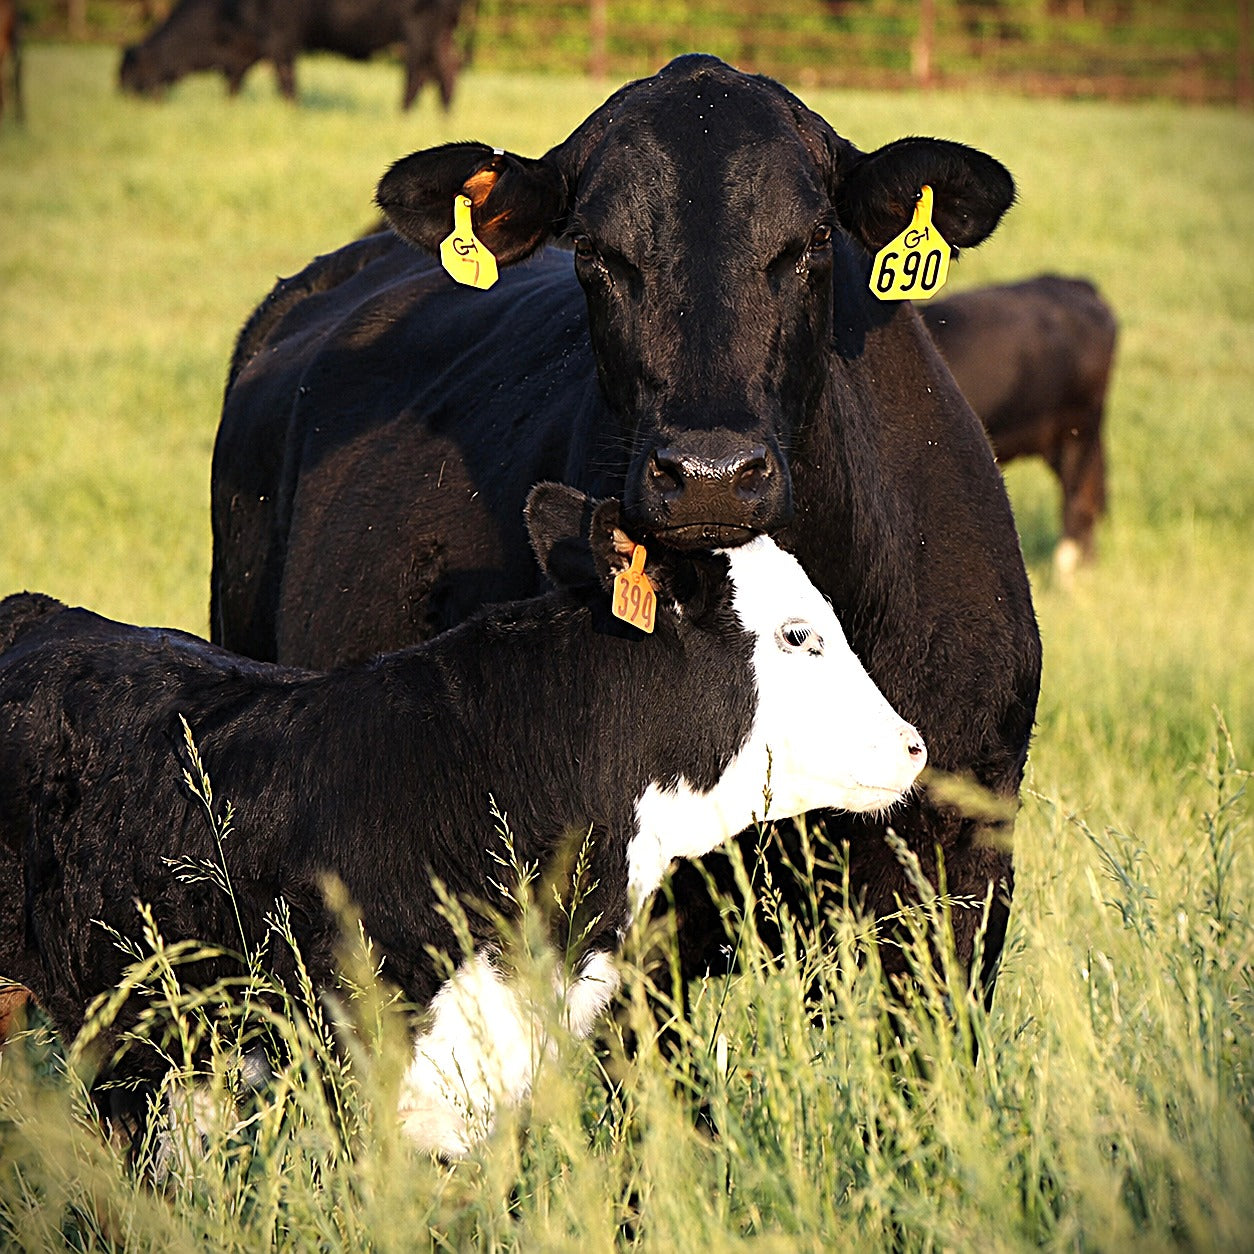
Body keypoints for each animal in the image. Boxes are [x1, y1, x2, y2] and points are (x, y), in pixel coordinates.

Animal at [118, 0, 466, 111]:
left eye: (130, 76)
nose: (124, 103)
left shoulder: (280, 37)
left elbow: (286, 80)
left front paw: (292, 112)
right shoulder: (245, 53)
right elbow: (234, 84)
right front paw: (231, 107)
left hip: (418, 26)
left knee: (417, 71)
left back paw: (402, 113)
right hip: (441, 31)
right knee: (446, 68)